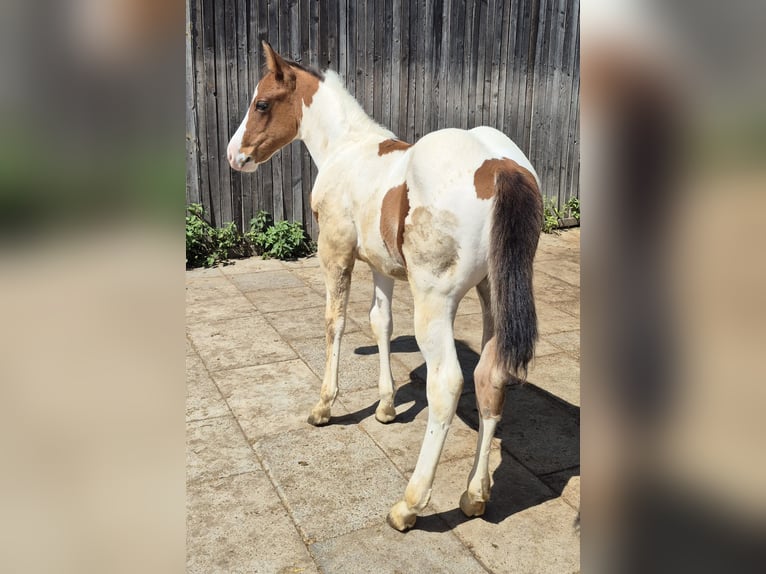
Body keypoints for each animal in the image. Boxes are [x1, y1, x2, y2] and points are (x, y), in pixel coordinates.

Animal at [227, 41, 543, 532]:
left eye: (261, 103)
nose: (233, 155)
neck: (346, 149)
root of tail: (501, 168)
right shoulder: (380, 266)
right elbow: (381, 324)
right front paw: (386, 406)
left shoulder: (335, 253)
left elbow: (335, 323)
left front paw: (325, 406)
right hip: (493, 294)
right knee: (489, 377)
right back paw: (475, 495)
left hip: (435, 301)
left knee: (448, 384)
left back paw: (409, 505)